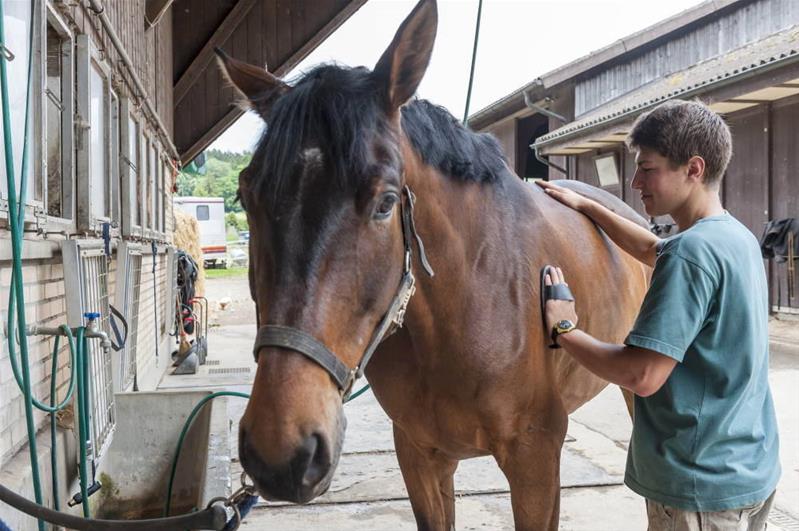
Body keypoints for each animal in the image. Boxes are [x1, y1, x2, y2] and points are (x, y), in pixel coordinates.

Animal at [217, 2, 648, 528]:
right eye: (246, 196)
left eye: (385, 202)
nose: (279, 455)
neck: (471, 301)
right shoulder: (420, 454)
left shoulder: (536, 460)